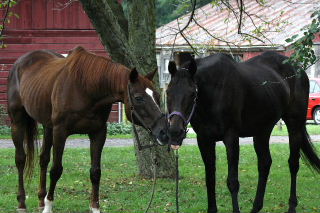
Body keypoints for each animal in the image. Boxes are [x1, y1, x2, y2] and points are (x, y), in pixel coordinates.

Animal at [6, 46, 168, 213]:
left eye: (157, 95)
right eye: (138, 98)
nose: (164, 132)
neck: (85, 88)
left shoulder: (98, 133)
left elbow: (95, 172)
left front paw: (95, 207)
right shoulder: (60, 132)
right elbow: (56, 170)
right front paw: (49, 206)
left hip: (48, 126)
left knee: (43, 159)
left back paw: (40, 201)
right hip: (18, 121)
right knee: (21, 159)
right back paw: (22, 204)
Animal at [166, 52, 320, 213]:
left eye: (192, 93)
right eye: (168, 92)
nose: (175, 132)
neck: (216, 90)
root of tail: (299, 70)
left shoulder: (231, 138)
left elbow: (233, 182)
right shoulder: (204, 139)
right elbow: (210, 179)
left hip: (294, 124)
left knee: (293, 164)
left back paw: (291, 206)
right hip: (262, 131)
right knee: (265, 163)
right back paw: (256, 207)